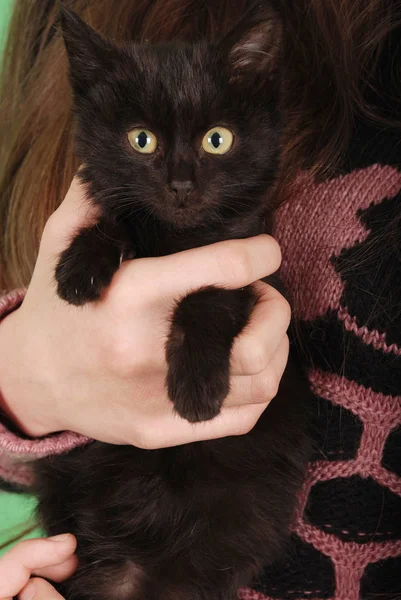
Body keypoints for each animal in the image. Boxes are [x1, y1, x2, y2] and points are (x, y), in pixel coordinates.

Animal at [34, 5, 312, 600]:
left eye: (216, 140)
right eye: (141, 139)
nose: (182, 185)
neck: (175, 239)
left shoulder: (252, 271)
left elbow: (205, 301)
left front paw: (197, 391)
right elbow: (117, 217)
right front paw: (78, 268)